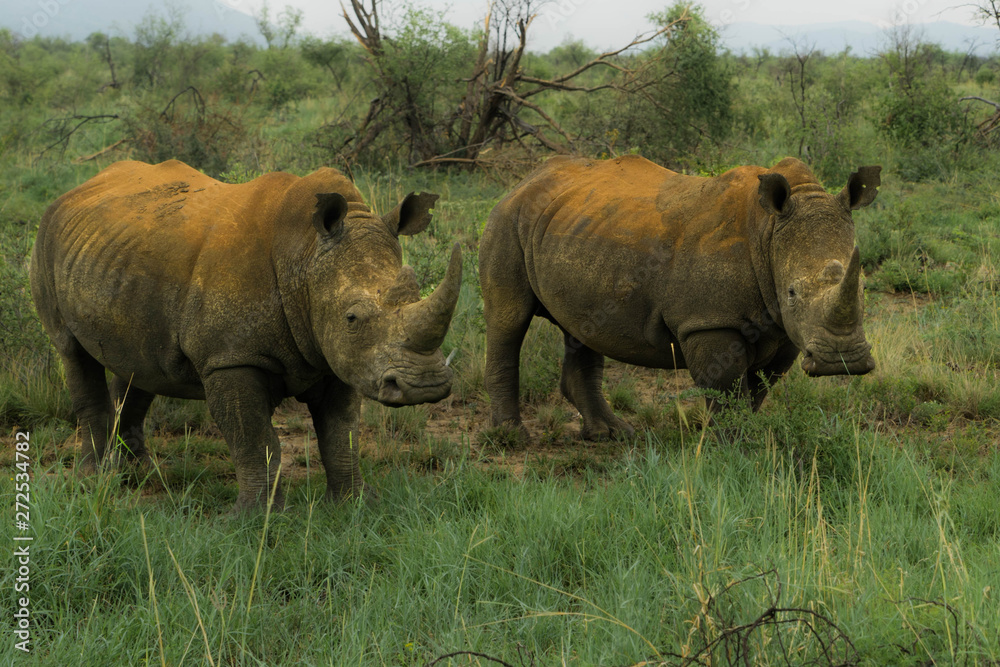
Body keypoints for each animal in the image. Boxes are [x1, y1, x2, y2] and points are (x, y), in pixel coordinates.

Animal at [30, 159, 461, 510]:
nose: (425, 386)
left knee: (140, 363)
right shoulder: (230, 357)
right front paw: (257, 517)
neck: (304, 256)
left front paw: (355, 505)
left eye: (416, 290)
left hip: (120, 257)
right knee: (72, 351)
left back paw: (136, 474)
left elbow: (341, 433)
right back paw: (93, 479)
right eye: (352, 317)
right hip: (47, 239)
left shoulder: (339, 357)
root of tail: (77, 189)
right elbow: (253, 437)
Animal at [479, 155, 879, 440]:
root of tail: (524, 180)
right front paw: (734, 449)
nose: (842, 361)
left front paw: (745, 438)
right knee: (508, 319)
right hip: (509, 219)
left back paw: (611, 435)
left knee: (581, 328)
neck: (768, 231)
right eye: (792, 292)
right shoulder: (708, 322)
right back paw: (511, 437)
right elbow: (727, 390)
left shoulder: (783, 329)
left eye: (863, 288)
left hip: (574, 226)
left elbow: (758, 388)